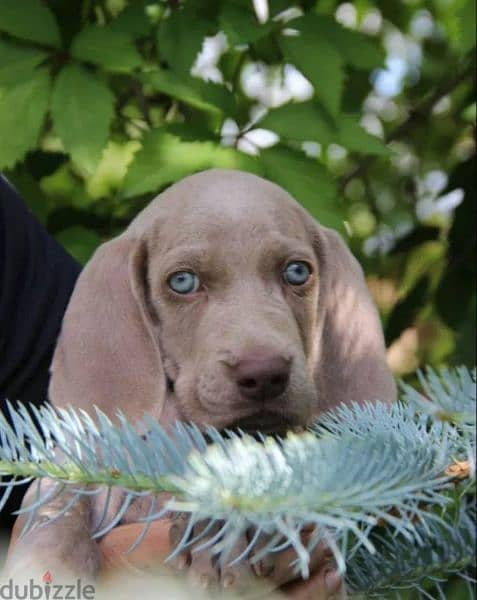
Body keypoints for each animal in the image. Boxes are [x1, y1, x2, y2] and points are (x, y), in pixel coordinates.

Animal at [6, 169, 394, 596]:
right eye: (183, 281)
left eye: (297, 272)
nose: (264, 374)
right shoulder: (84, 469)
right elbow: (58, 504)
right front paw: (42, 570)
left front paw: (225, 524)